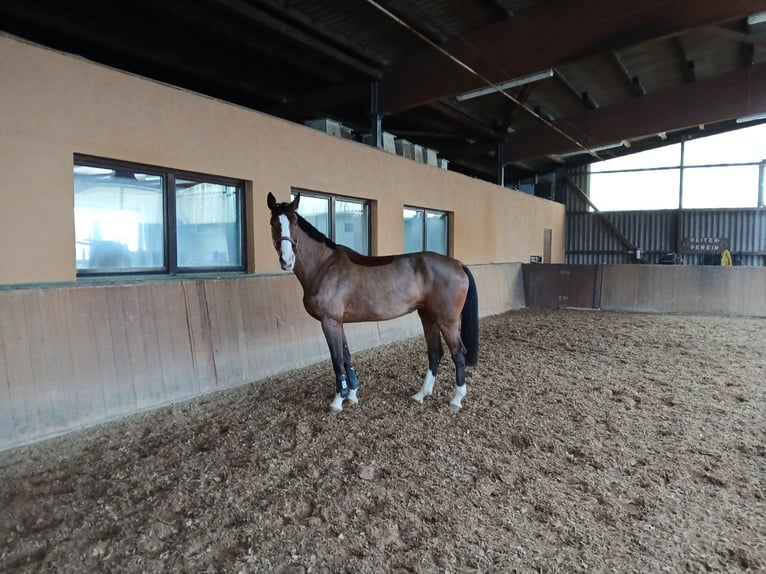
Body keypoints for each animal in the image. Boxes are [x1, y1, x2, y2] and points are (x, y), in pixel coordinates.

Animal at [267, 192, 478, 412]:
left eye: (294, 222)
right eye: (273, 222)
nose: (287, 260)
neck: (324, 265)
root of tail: (458, 264)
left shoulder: (329, 321)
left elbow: (337, 359)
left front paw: (338, 400)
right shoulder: (338, 322)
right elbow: (346, 356)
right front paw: (352, 394)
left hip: (447, 321)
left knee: (458, 353)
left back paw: (456, 400)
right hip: (428, 316)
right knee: (435, 352)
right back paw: (421, 394)